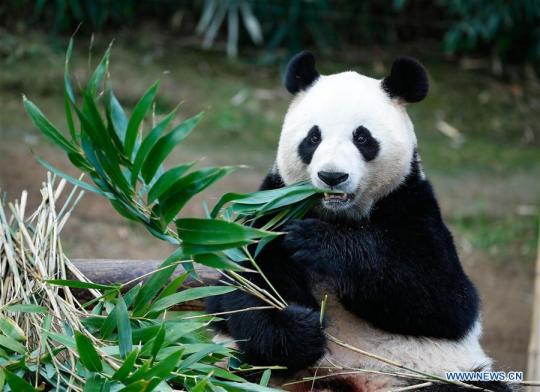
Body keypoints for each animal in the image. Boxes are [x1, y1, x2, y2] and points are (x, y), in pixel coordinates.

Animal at [205, 52, 512, 392]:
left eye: (362, 137)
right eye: (313, 137)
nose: (332, 176)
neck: (338, 215)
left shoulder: (411, 204)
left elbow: (441, 297)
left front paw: (318, 243)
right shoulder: (271, 209)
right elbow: (244, 285)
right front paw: (301, 328)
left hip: (426, 373)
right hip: (231, 366)